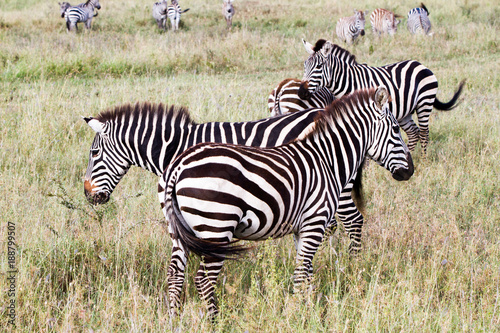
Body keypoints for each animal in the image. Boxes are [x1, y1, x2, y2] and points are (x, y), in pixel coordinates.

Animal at [160, 87, 414, 318]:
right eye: (395, 129)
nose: (410, 171)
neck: (328, 159)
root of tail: (178, 165)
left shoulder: (301, 229)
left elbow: (307, 272)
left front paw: (309, 310)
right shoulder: (315, 222)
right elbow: (301, 273)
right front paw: (297, 314)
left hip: (179, 231)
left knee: (175, 274)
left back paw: (174, 319)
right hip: (216, 227)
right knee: (204, 281)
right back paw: (216, 321)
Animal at [296, 38, 464, 157]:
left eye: (318, 67)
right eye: (304, 66)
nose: (301, 93)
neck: (349, 82)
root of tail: (421, 65)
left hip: (425, 103)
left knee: (423, 133)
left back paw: (423, 160)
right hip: (405, 112)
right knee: (413, 132)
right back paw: (410, 155)